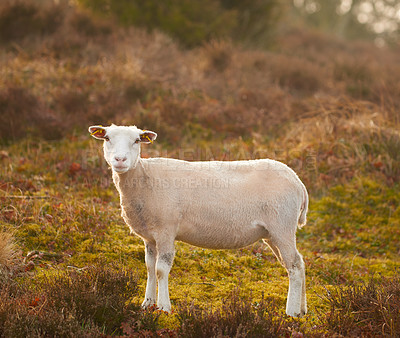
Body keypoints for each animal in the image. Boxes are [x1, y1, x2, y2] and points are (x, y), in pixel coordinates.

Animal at [90, 123, 310, 316]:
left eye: (137, 140)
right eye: (107, 138)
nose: (120, 160)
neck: (145, 178)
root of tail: (299, 182)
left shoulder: (166, 230)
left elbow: (161, 269)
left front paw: (163, 307)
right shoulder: (150, 237)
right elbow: (150, 267)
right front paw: (147, 303)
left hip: (282, 226)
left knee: (294, 266)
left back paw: (290, 312)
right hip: (272, 233)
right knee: (299, 263)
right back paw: (302, 310)